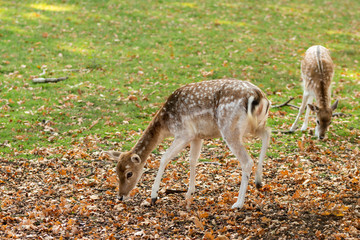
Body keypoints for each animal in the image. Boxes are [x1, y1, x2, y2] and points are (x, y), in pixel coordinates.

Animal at [104, 79, 270, 209]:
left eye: (129, 173)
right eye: (116, 171)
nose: (120, 196)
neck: (165, 125)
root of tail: (259, 97)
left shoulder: (184, 133)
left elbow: (164, 157)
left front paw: (154, 196)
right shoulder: (197, 136)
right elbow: (192, 160)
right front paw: (189, 193)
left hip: (229, 128)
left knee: (247, 161)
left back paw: (238, 203)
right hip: (254, 125)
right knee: (267, 133)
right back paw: (259, 181)